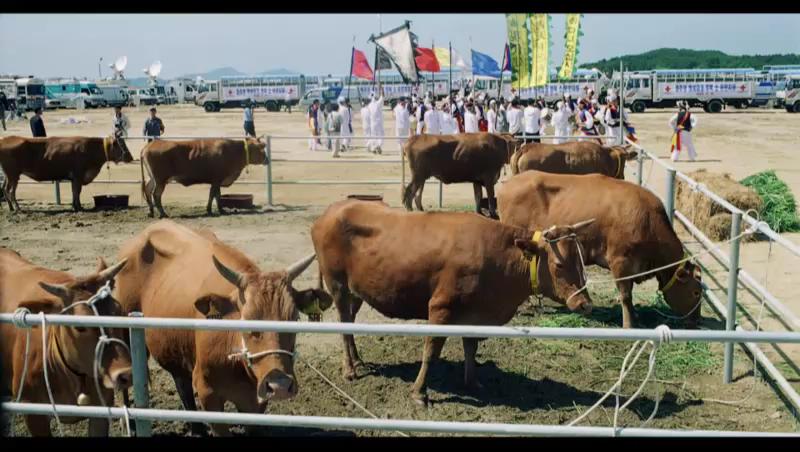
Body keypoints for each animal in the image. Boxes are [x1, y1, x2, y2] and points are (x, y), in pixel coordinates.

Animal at [0, 135, 133, 213]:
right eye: (122, 144)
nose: (130, 157)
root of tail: (5, 139)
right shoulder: (78, 176)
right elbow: (77, 191)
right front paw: (78, 207)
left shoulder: (74, 178)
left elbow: (74, 192)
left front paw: (75, 206)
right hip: (13, 175)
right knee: (11, 191)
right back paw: (18, 209)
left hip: (9, 176)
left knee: (5, 189)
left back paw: (11, 208)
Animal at [108, 221, 330, 436]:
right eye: (246, 320)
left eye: (294, 318)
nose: (280, 386)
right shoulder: (209, 394)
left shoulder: (255, 401)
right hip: (125, 333)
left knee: (182, 385)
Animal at [312, 200, 592, 404]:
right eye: (559, 264)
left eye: (581, 260)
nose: (584, 304)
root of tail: (332, 210)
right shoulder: (441, 308)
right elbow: (431, 351)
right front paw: (419, 392)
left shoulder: (475, 315)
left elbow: (471, 347)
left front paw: (472, 382)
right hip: (337, 285)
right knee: (343, 323)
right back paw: (349, 368)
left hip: (356, 291)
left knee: (351, 321)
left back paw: (358, 360)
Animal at [496, 170, 704, 328]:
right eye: (696, 292)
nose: (696, 321)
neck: (647, 221)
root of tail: (509, 183)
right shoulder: (620, 262)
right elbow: (626, 296)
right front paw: (629, 324)